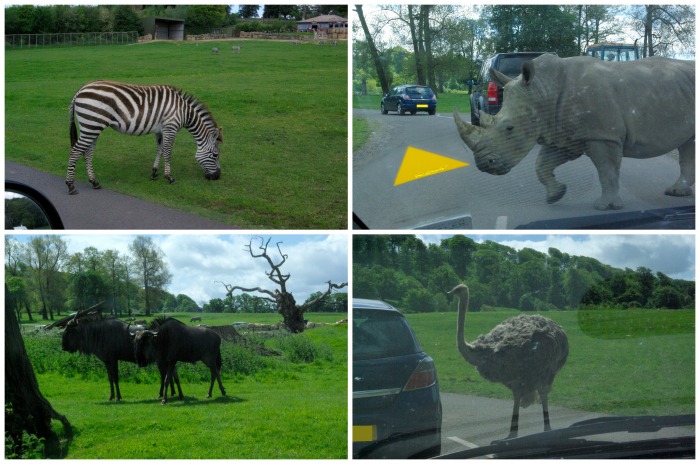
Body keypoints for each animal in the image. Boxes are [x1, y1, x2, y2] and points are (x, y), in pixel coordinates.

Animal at [65, 80, 223, 195]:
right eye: (215, 155)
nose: (217, 177)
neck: (184, 112)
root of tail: (80, 90)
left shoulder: (160, 131)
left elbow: (160, 150)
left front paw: (154, 173)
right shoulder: (170, 128)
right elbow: (168, 153)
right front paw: (169, 177)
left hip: (92, 127)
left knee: (87, 153)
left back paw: (94, 182)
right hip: (91, 125)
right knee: (75, 151)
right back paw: (71, 185)